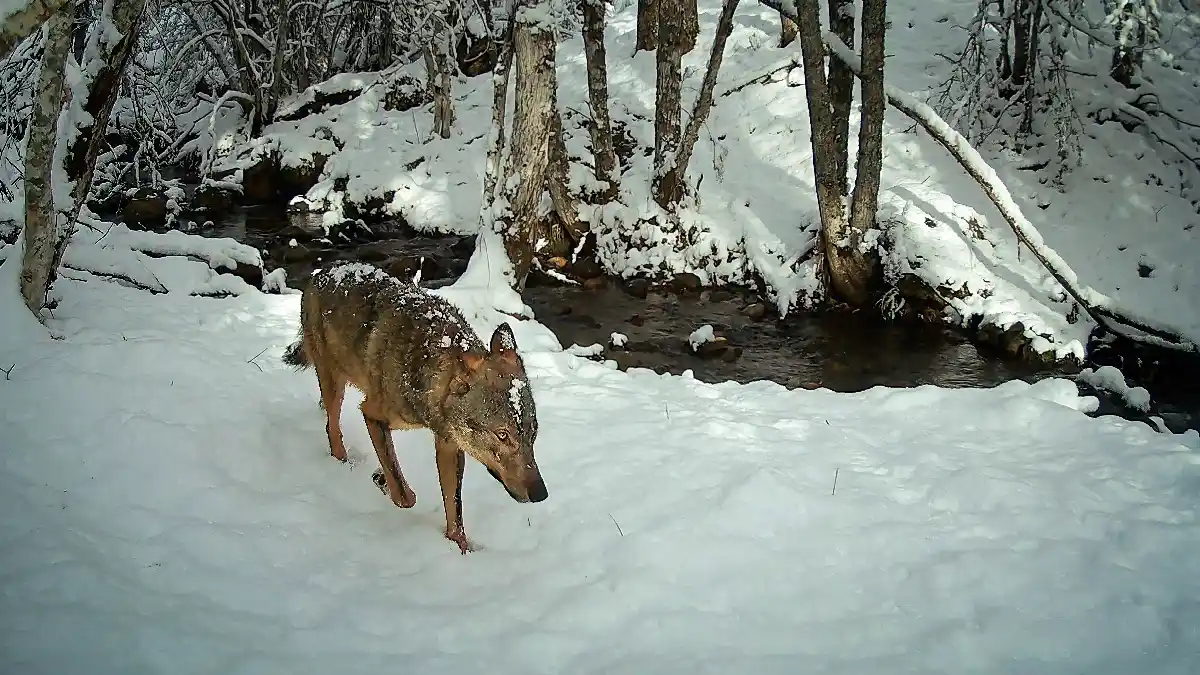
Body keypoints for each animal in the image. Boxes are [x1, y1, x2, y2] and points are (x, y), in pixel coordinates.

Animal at [283, 261, 547, 554]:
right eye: (502, 435)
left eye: (533, 432)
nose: (541, 494)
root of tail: (323, 272)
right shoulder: (372, 414)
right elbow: (404, 495)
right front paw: (383, 481)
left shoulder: (449, 445)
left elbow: (455, 511)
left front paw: (462, 551)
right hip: (334, 382)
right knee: (332, 426)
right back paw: (343, 463)